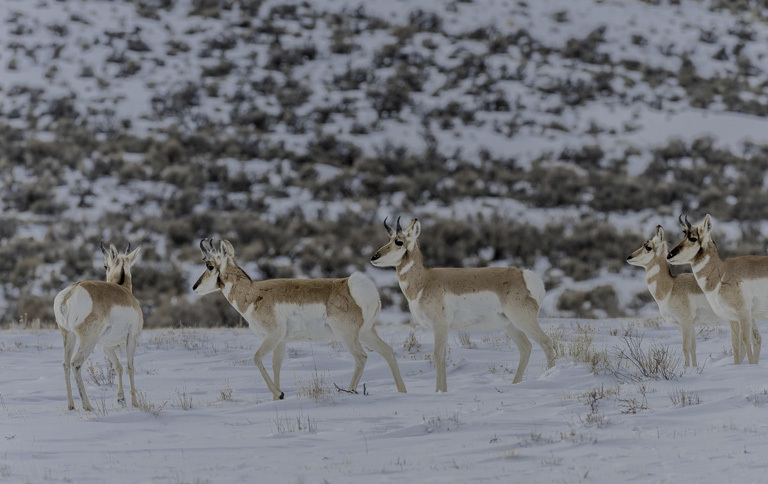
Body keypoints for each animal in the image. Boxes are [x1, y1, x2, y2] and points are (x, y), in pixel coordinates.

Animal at [54, 244, 145, 410]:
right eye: (105, 265)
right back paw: (87, 405)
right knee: (75, 364)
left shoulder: (106, 346)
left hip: (68, 336)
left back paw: (71, 405)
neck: (124, 290)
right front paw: (135, 403)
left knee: (65, 364)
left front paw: (121, 399)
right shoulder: (131, 340)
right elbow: (130, 366)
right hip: (88, 340)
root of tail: (71, 291)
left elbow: (118, 366)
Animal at [192, 239, 408, 400]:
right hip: (366, 333)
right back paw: (402, 392)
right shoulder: (280, 342)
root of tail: (352, 284)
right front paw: (277, 397)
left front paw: (279, 393)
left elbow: (256, 358)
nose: (194, 287)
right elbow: (276, 365)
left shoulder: (273, 335)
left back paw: (350, 391)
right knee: (387, 351)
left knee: (361, 357)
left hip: (347, 335)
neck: (253, 294)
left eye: (209, 266)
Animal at [370, 217, 556, 392]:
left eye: (399, 241)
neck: (424, 281)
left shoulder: (439, 326)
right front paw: (443, 391)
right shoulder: (442, 329)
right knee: (526, 348)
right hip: (510, 325)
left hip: (524, 320)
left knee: (546, 343)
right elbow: (442, 357)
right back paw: (515, 383)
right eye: (389, 239)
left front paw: (437, 391)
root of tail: (526, 275)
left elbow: (437, 356)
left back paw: (549, 377)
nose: (374, 257)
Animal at [624, 225, 728, 364]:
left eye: (648, 247)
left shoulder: (685, 322)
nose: (629, 257)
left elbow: (685, 347)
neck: (671, 286)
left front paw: (686, 368)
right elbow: (693, 347)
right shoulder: (691, 324)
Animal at [664, 214, 760, 364]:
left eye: (693, 238)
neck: (722, 272)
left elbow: (744, 341)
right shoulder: (733, 318)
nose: (669, 255)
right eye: (683, 235)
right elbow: (736, 344)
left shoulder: (742, 313)